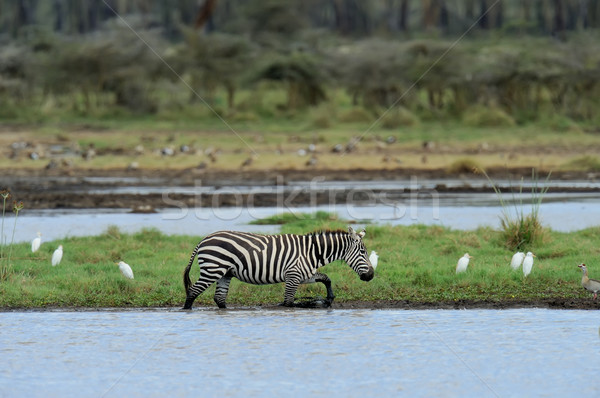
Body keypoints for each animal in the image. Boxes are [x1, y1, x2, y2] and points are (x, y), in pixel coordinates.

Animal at [182, 227, 376, 308]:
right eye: (362, 251)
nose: (371, 275)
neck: (312, 252)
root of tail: (204, 239)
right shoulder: (293, 276)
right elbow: (289, 302)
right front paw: (311, 303)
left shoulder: (302, 274)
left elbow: (325, 278)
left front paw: (329, 298)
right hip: (212, 270)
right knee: (192, 292)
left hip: (225, 273)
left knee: (219, 299)